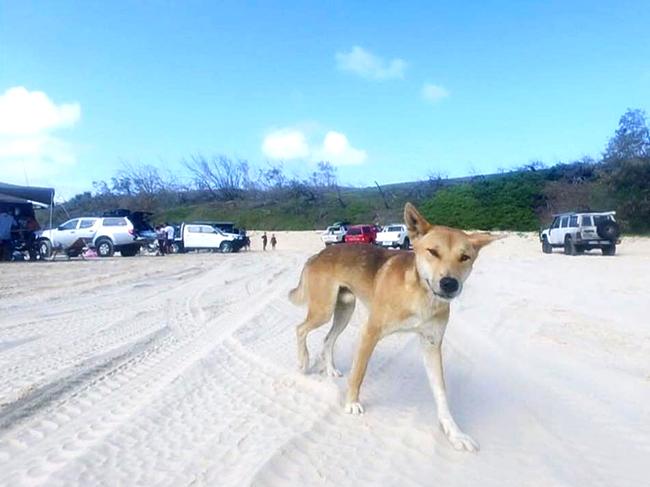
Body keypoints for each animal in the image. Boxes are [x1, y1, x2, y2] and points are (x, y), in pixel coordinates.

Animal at [288, 201, 496, 450]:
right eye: (433, 252)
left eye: (465, 257)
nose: (449, 284)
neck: (420, 295)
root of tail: (318, 254)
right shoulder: (370, 332)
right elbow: (358, 374)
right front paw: (351, 403)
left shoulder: (431, 344)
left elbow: (441, 393)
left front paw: (454, 432)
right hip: (324, 310)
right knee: (300, 328)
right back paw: (303, 362)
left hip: (344, 310)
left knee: (327, 339)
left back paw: (329, 368)